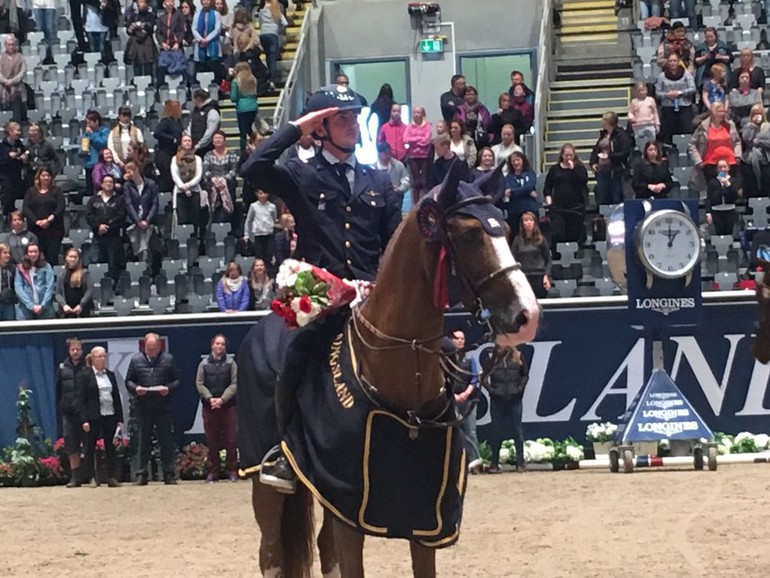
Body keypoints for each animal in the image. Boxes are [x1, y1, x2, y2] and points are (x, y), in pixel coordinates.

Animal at [236, 159, 540, 576]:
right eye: (468, 236)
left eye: (508, 231)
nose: (528, 316)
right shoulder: (350, 508)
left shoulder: (425, 522)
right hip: (264, 486)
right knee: (271, 555)